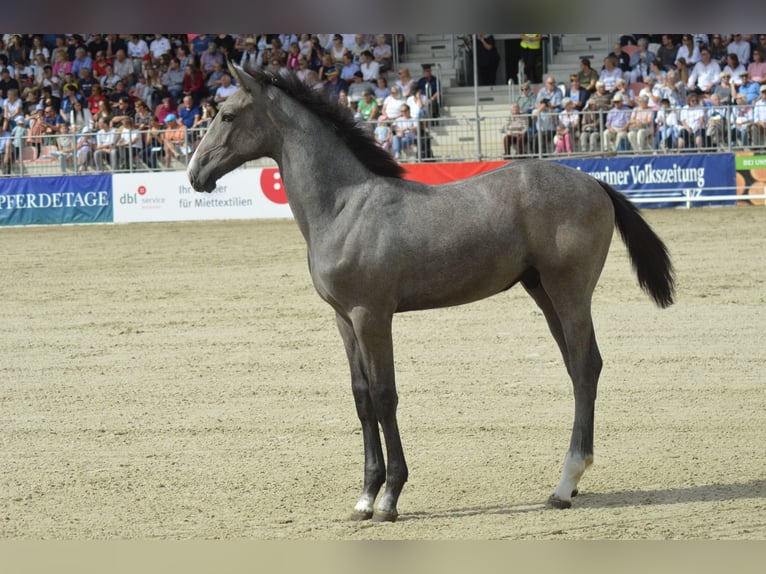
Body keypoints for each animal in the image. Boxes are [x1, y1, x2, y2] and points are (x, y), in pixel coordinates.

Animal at [189, 64, 676, 528]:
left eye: (226, 114)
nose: (196, 174)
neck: (344, 207)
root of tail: (595, 184)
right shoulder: (344, 319)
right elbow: (361, 398)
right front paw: (364, 497)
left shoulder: (372, 315)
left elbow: (385, 395)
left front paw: (389, 498)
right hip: (543, 292)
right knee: (578, 368)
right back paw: (569, 485)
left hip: (569, 290)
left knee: (586, 366)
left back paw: (565, 481)